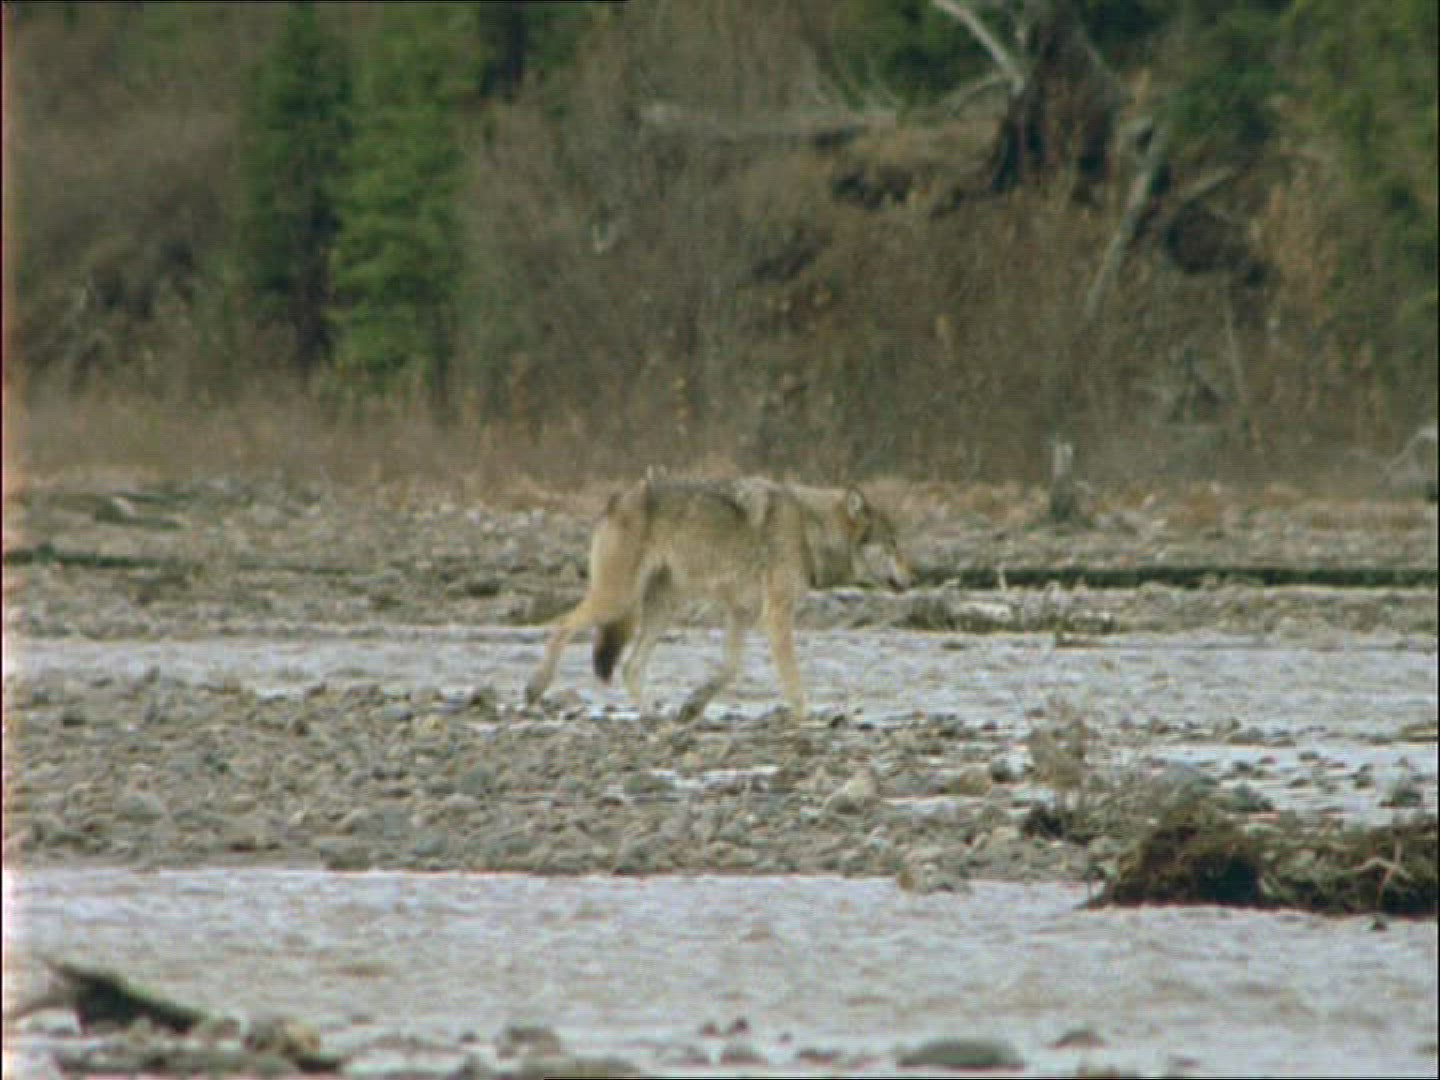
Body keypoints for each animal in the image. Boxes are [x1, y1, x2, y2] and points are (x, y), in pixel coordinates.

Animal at [524, 476, 913, 722]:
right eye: (892, 544)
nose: (916, 578)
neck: (810, 529)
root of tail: (615, 500)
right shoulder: (776, 615)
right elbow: (792, 679)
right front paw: (806, 717)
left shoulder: (741, 612)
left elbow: (730, 668)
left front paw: (694, 706)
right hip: (618, 599)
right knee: (562, 626)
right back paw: (534, 688)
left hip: (663, 609)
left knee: (631, 666)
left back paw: (651, 716)